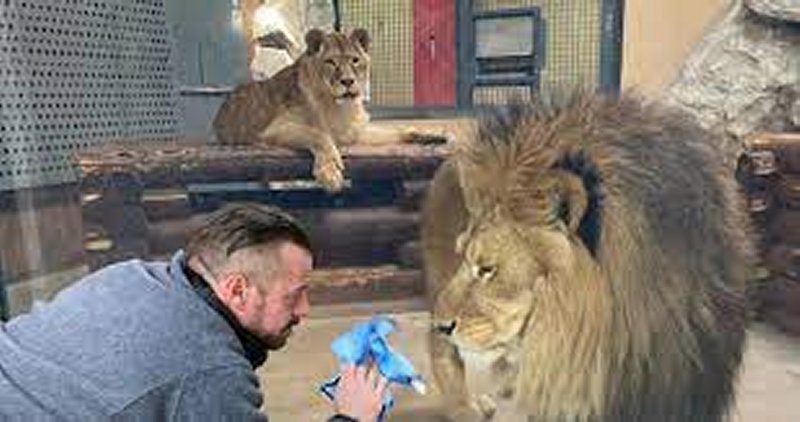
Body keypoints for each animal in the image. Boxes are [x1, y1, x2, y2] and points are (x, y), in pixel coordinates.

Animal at [213, 28, 447, 192]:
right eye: (331, 62)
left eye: (355, 60)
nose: (348, 81)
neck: (341, 107)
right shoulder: (273, 129)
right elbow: (317, 134)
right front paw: (329, 173)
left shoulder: (354, 133)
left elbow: (397, 130)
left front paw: (432, 135)